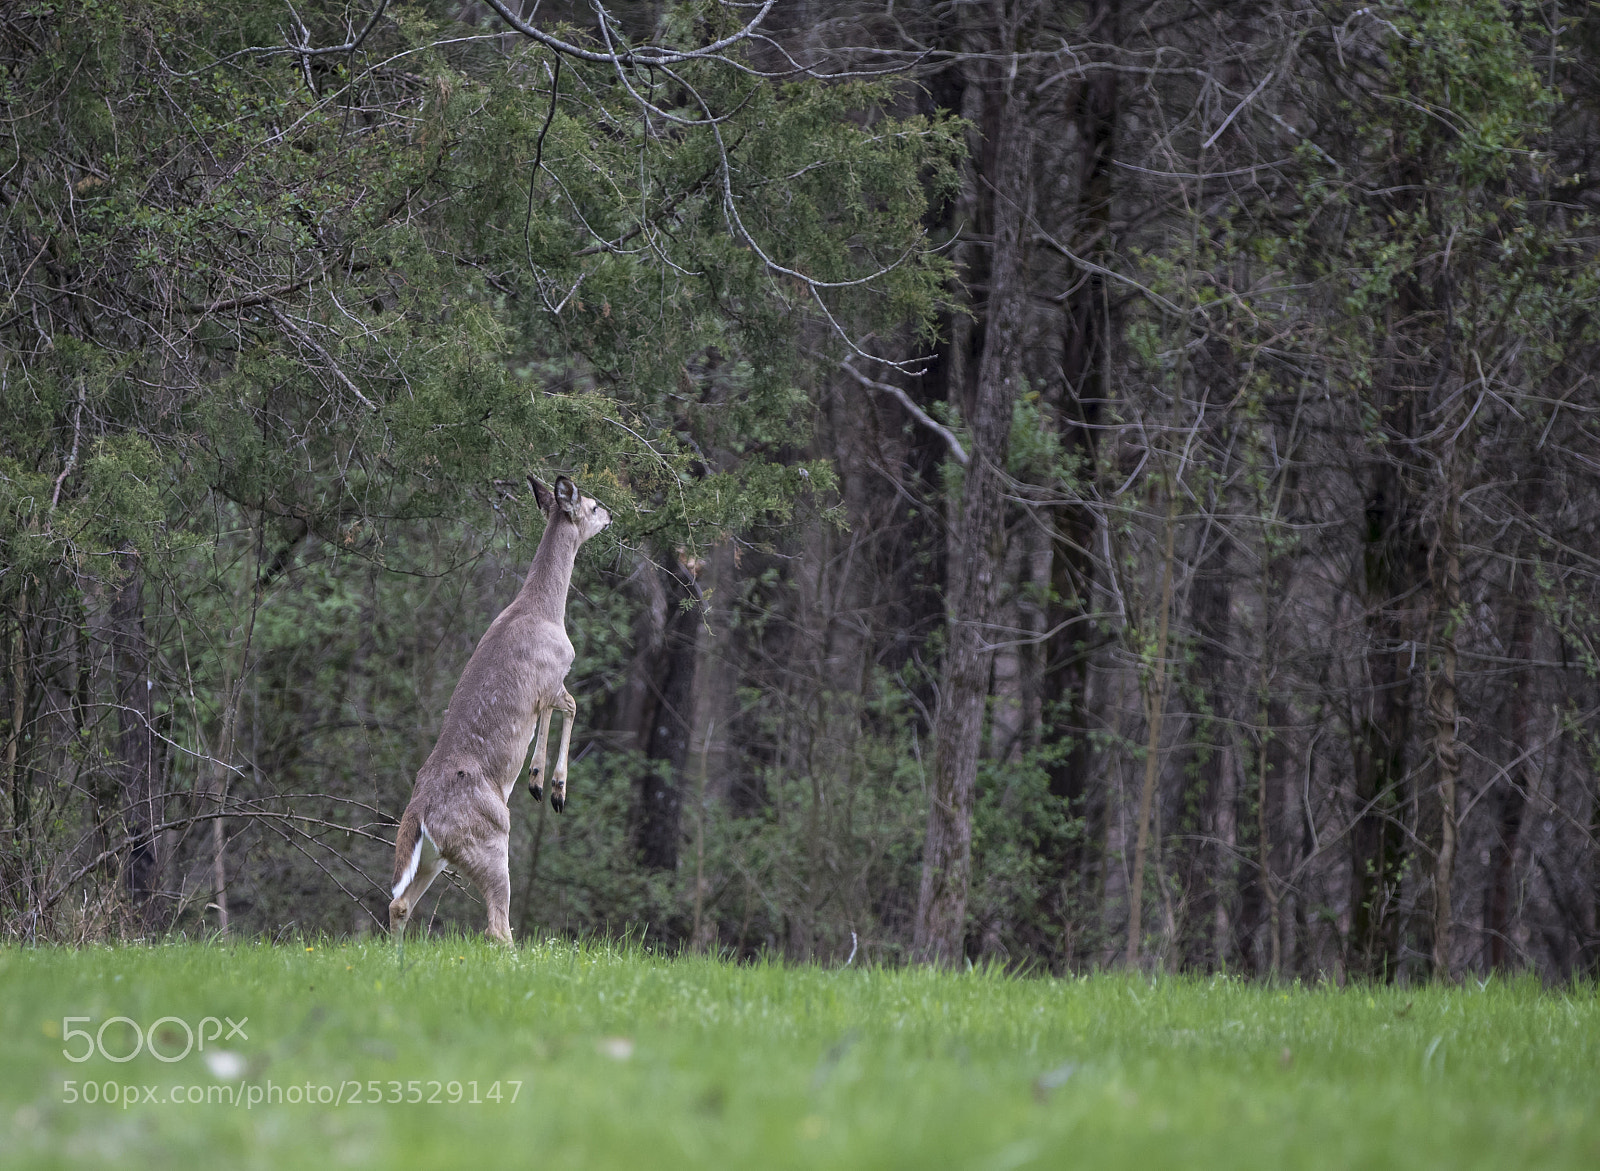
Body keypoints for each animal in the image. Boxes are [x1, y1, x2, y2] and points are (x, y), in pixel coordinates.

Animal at [388, 475, 610, 944]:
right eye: (593, 505)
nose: (612, 514)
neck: (543, 608)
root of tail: (421, 814)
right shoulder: (552, 677)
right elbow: (569, 706)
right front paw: (550, 787)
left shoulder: (548, 687)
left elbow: (556, 712)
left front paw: (541, 781)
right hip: (491, 842)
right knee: (497, 927)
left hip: (434, 858)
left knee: (400, 904)